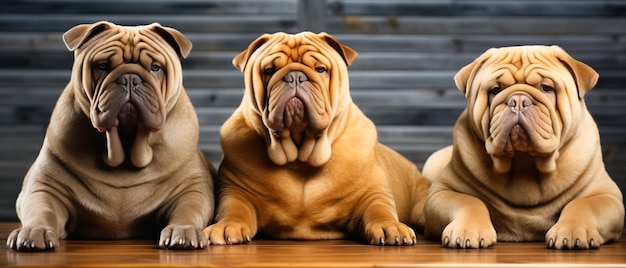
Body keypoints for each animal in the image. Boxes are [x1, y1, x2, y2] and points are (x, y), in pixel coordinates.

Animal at [6, 21, 216, 251]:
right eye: (102, 66)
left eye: (155, 67)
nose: (130, 78)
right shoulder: (46, 187)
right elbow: (42, 210)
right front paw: (35, 231)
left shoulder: (191, 189)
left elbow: (188, 209)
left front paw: (184, 231)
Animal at [202, 31, 426, 245]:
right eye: (269, 70)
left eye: (320, 69)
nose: (295, 76)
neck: (300, 157)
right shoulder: (235, 192)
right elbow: (234, 211)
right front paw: (225, 226)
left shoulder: (373, 194)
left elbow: (379, 211)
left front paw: (391, 226)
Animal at [422, 45, 620, 249]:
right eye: (495, 89)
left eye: (547, 87)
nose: (518, 100)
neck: (524, 161)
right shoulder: (443, 192)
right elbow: (469, 202)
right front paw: (468, 229)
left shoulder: (606, 195)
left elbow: (582, 205)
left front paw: (573, 230)